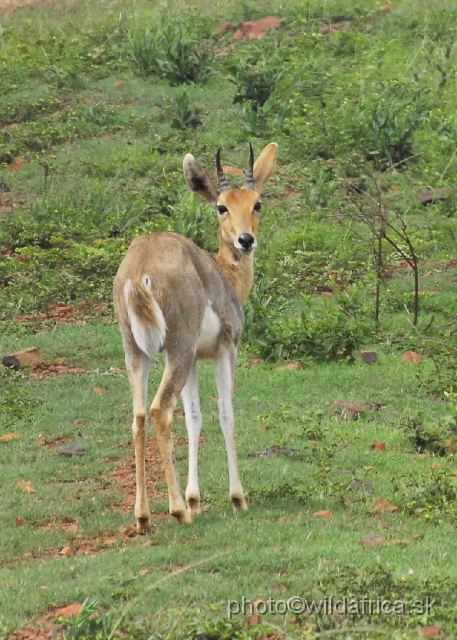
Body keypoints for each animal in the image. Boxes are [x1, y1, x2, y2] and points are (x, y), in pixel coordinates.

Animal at [114, 142, 278, 532]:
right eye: (221, 205)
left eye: (257, 202)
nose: (245, 239)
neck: (223, 276)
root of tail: (139, 270)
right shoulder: (225, 350)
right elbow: (225, 413)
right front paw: (237, 498)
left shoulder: (193, 363)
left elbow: (194, 418)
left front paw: (196, 498)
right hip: (178, 348)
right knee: (160, 409)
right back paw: (177, 511)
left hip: (139, 353)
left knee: (139, 416)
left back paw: (143, 516)